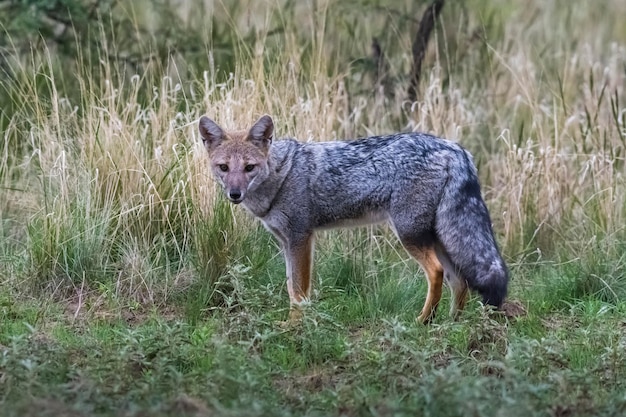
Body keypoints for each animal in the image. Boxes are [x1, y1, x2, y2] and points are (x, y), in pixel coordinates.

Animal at [199, 115, 508, 324]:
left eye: (249, 168)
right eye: (224, 168)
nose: (234, 194)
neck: (281, 175)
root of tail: (456, 149)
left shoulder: (301, 237)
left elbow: (299, 291)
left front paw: (295, 327)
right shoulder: (285, 242)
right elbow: (289, 287)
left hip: (410, 234)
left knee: (438, 273)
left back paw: (423, 321)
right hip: (438, 237)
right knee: (461, 281)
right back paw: (450, 325)